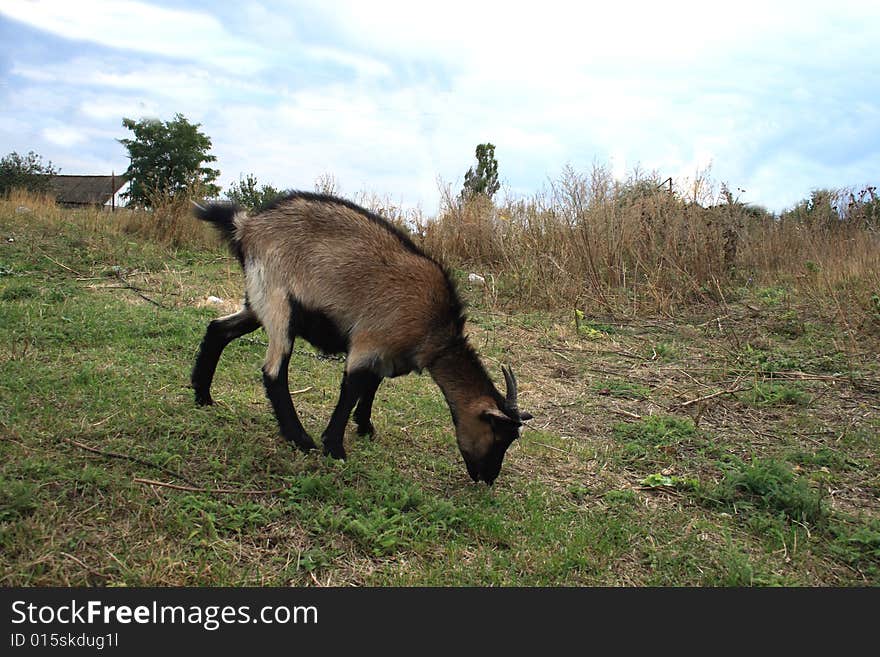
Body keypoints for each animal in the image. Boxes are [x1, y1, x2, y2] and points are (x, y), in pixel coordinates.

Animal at [190, 192, 528, 484]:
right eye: (500, 433)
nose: (487, 478)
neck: (435, 330)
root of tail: (247, 226)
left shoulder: (386, 355)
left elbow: (372, 387)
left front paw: (365, 427)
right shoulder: (368, 343)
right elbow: (351, 389)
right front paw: (335, 448)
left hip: (256, 302)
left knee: (218, 329)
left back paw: (203, 396)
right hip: (279, 302)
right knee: (274, 371)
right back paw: (301, 439)